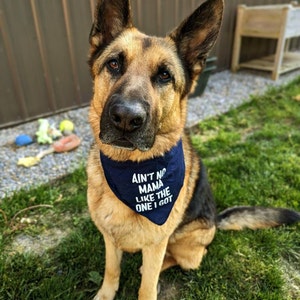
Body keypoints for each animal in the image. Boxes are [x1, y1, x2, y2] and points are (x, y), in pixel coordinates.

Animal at [85, 1, 298, 298]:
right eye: (114, 63)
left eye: (164, 75)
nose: (126, 118)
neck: (131, 167)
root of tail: (216, 220)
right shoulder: (109, 238)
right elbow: (111, 271)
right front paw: (105, 293)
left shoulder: (156, 245)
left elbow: (147, 286)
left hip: (186, 245)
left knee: (181, 259)